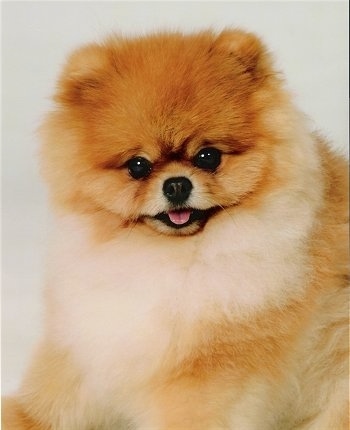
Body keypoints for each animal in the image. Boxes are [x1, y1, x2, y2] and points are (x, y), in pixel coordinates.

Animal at [2, 28, 348, 428]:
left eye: (208, 156)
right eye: (138, 165)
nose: (177, 184)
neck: (164, 258)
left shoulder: (207, 368)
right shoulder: (89, 341)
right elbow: (48, 402)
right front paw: (19, 415)